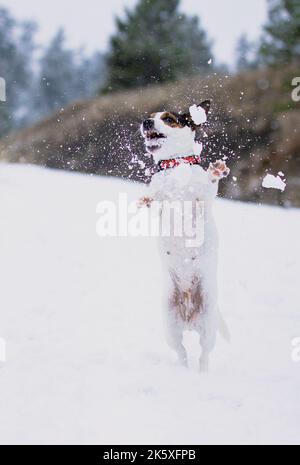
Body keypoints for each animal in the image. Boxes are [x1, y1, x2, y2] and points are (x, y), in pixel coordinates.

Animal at [138, 100, 230, 370]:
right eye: (150, 116)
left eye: (168, 118)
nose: (146, 122)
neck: (176, 165)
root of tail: (189, 318)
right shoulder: (160, 200)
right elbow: (155, 196)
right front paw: (145, 198)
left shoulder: (203, 200)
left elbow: (208, 188)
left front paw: (216, 171)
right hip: (170, 327)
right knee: (181, 352)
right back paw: (183, 369)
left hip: (208, 326)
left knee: (204, 355)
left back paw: (201, 373)